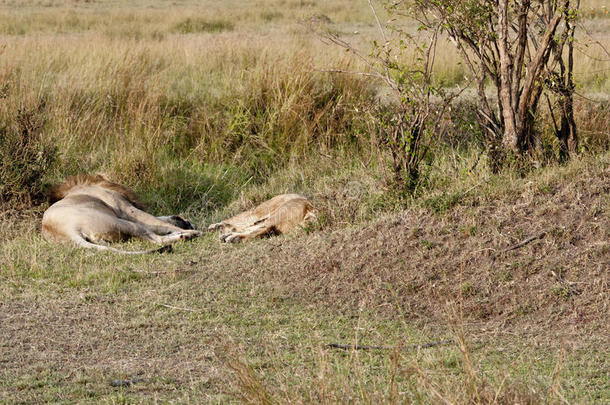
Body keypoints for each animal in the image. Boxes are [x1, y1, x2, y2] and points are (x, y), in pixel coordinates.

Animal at [41, 174, 202, 252]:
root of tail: (66, 231)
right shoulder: (126, 209)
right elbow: (157, 221)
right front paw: (189, 227)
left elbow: (160, 219)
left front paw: (181, 220)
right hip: (121, 222)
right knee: (156, 239)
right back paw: (188, 235)